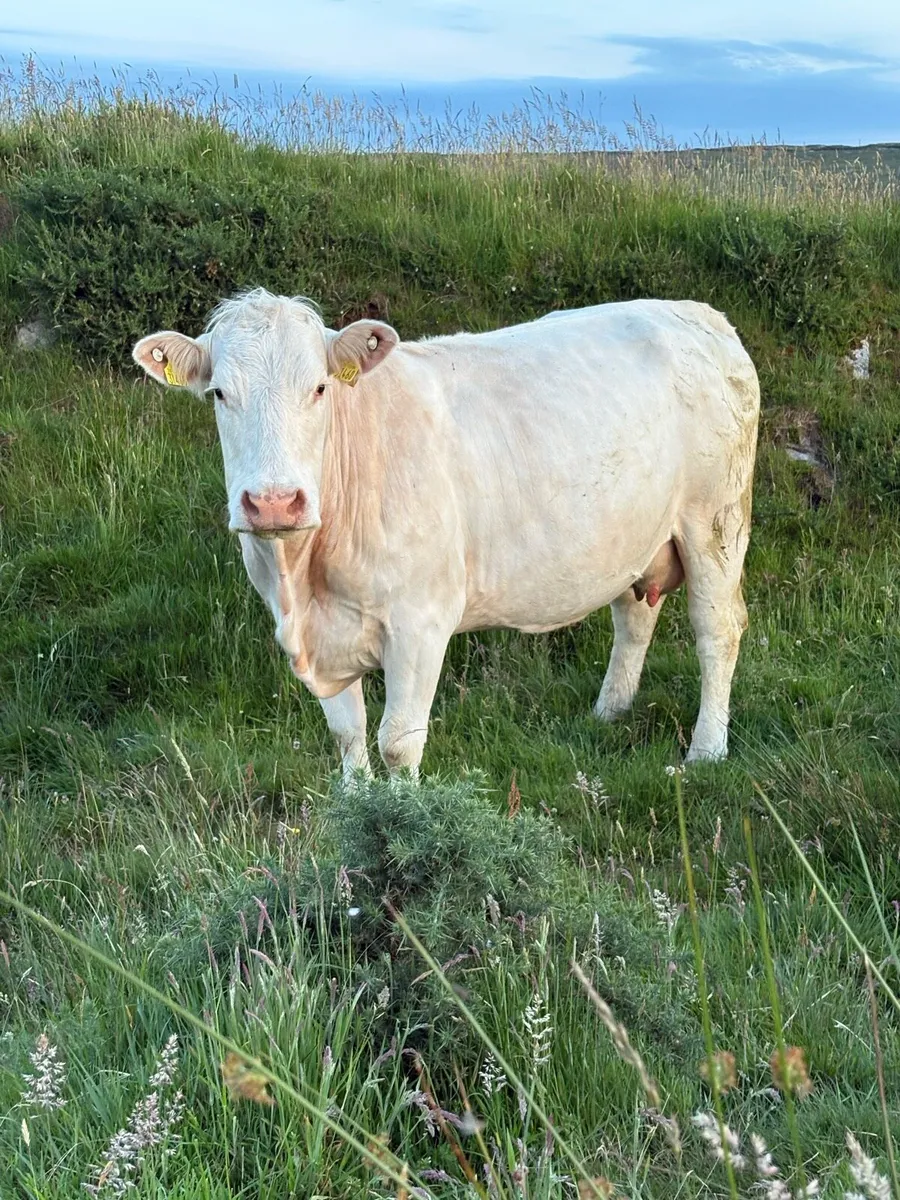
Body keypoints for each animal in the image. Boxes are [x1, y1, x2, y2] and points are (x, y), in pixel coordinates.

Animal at [133, 289, 759, 779]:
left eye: (318, 389)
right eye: (219, 393)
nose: (273, 502)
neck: (304, 582)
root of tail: (699, 314)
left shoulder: (421, 621)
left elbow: (397, 743)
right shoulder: (322, 637)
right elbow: (348, 737)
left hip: (715, 521)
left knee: (718, 630)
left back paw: (706, 750)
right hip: (639, 536)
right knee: (634, 617)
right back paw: (608, 712)